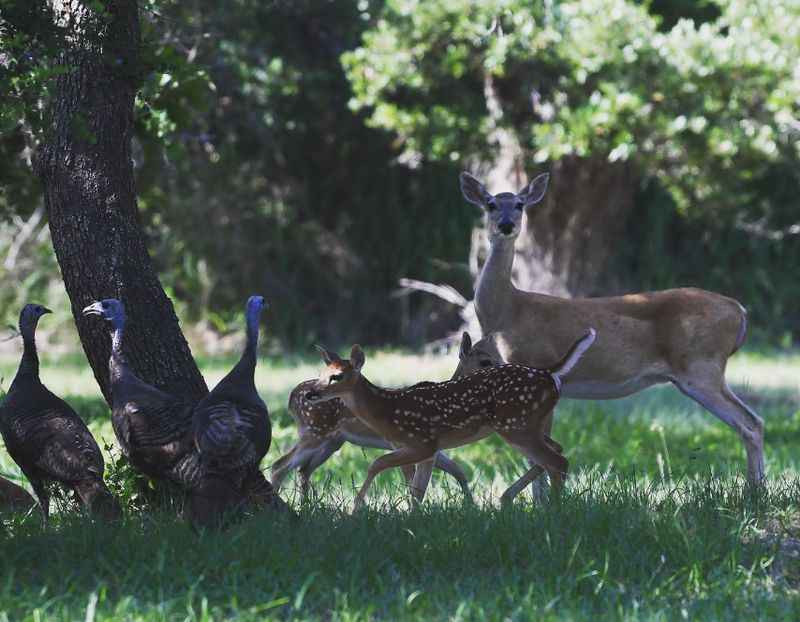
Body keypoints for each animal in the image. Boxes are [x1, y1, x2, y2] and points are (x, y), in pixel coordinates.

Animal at [460, 172, 764, 488]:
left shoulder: (533, 368)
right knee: (753, 422)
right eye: (491, 204)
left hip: (701, 367)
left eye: (520, 204)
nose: (506, 225)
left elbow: (537, 453)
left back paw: (754, 492)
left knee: (751, 423)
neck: (508, 310)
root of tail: (739, 311)